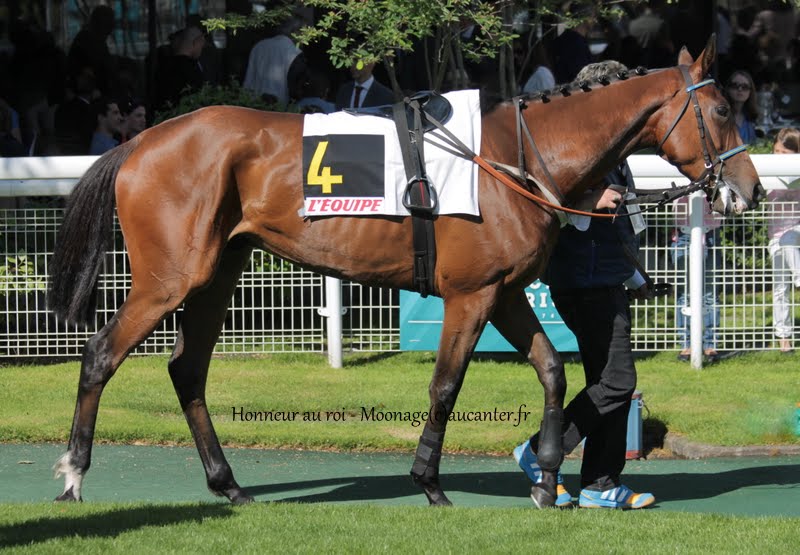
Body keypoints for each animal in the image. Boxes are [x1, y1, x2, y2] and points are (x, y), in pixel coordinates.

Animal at [50, 38, 764, 508]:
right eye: (722, 112)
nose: (750, 191)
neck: (512, 157)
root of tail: (141, 141)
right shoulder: (470, 295)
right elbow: (446, 386)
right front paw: (430, 482)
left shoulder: (504, 293)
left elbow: (553, 370)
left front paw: (545, 478)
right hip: (169, 278)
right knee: (100, 355)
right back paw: (75, 473)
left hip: (218, 273)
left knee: (187, 371)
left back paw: (229, 486)